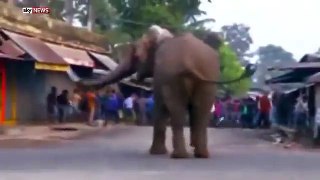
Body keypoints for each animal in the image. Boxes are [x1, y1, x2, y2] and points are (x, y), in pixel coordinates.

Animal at [81, 24, 256, 158]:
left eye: (136, 55)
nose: (81, 82)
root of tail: (189, 61)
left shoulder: (160, 75)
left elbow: (160, 106)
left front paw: (156, 153)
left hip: (173, 76)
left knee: (177, 111)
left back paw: (179, 156)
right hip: (208, 76)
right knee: (201, 111)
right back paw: (201, 154)